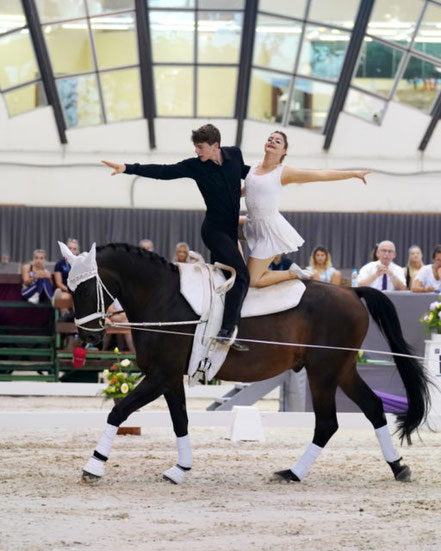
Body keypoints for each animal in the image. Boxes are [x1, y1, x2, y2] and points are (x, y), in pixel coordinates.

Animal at [66, 244, 430, 486]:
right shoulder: (169, 377)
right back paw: (398, 467)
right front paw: (180, 469)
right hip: (342, 370)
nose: (86, 335)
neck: (163, 298)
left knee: (328, 423)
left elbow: (119, 411)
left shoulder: (160, 375)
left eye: (83, 289)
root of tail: (352, 292)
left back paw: (293, 473)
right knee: (373, 407)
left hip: (323, 372)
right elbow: (180, 420)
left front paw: (93, 466)